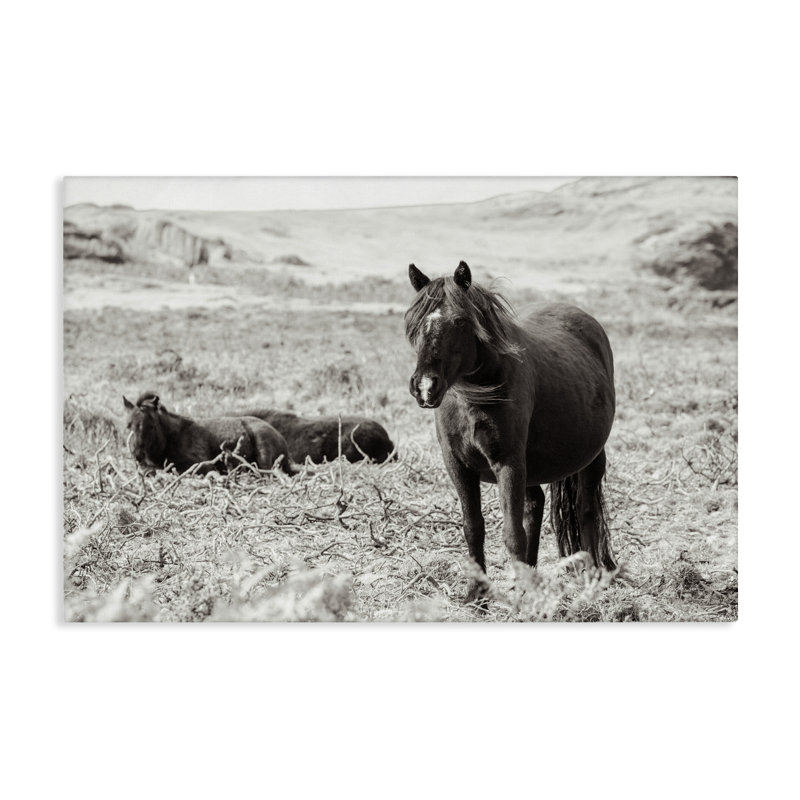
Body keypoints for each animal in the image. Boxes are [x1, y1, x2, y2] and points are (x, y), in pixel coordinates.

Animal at [123, 392, 296, 476]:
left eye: (151, 426)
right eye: (128, 425)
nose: (137, 454)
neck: (172, 438)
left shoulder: (201, 465)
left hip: (263, 451)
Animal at [405, 261, 616, 602]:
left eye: (460, 321)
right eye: (413, 323)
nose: (424, 386)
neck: (475, 398)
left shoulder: (509, 463)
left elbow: (512, 532)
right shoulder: (457, 465)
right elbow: (473, 527)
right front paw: (476, 596)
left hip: (591, 458)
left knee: (585, 510)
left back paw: (591, 575)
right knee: (535, 504)